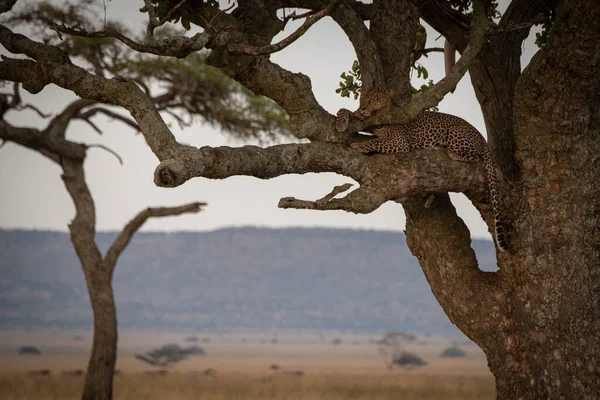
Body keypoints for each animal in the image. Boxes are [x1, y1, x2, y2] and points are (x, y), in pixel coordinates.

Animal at [338, 86, 506, 253]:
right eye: (362, 98)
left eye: (374, 99)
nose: (363, 107)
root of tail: (481, 136)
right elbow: (344, 110)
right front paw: (343, 120)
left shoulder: (399, 142)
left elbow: (375, 142)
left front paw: (358, 145)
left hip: (455, 133)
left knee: (475, 157)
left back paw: (447, 151)